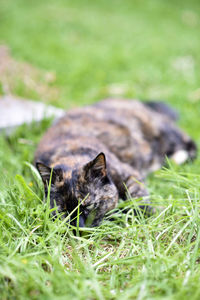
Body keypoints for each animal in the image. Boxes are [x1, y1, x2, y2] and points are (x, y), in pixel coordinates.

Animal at [34, 98, 197, 227]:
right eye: (63, 211)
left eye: (89, 206)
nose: (78, 227)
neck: (73, 154)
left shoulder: (130, 175)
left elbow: (139, 199)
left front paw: (146, 217)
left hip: (164, 134)